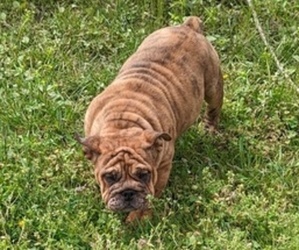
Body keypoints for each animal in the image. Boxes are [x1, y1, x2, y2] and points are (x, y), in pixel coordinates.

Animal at [76, 16, 224, 222]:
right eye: (110, 177)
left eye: (143, 174)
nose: (128, 193)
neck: (123, 123)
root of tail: (189, 27)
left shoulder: (161, 168)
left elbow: (151, 195)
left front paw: (138, 219)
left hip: (213, 85)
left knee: (214, 107)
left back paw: (209, 129)